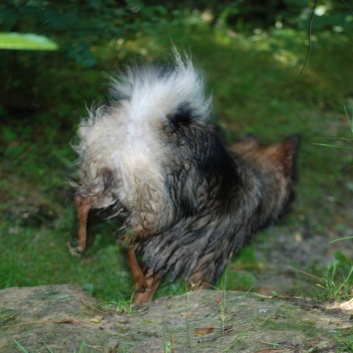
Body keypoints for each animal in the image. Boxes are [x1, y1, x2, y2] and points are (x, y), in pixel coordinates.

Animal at [70, 53, 298, 302]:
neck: (254, 172)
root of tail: (138, 123)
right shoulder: (209, 256)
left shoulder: (168, 250)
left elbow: (148, 290)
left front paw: (140, 303)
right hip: (158, 211)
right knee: (125, 241)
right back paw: (136, 277)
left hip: (107, 183)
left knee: (82, 202)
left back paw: (81, 242)